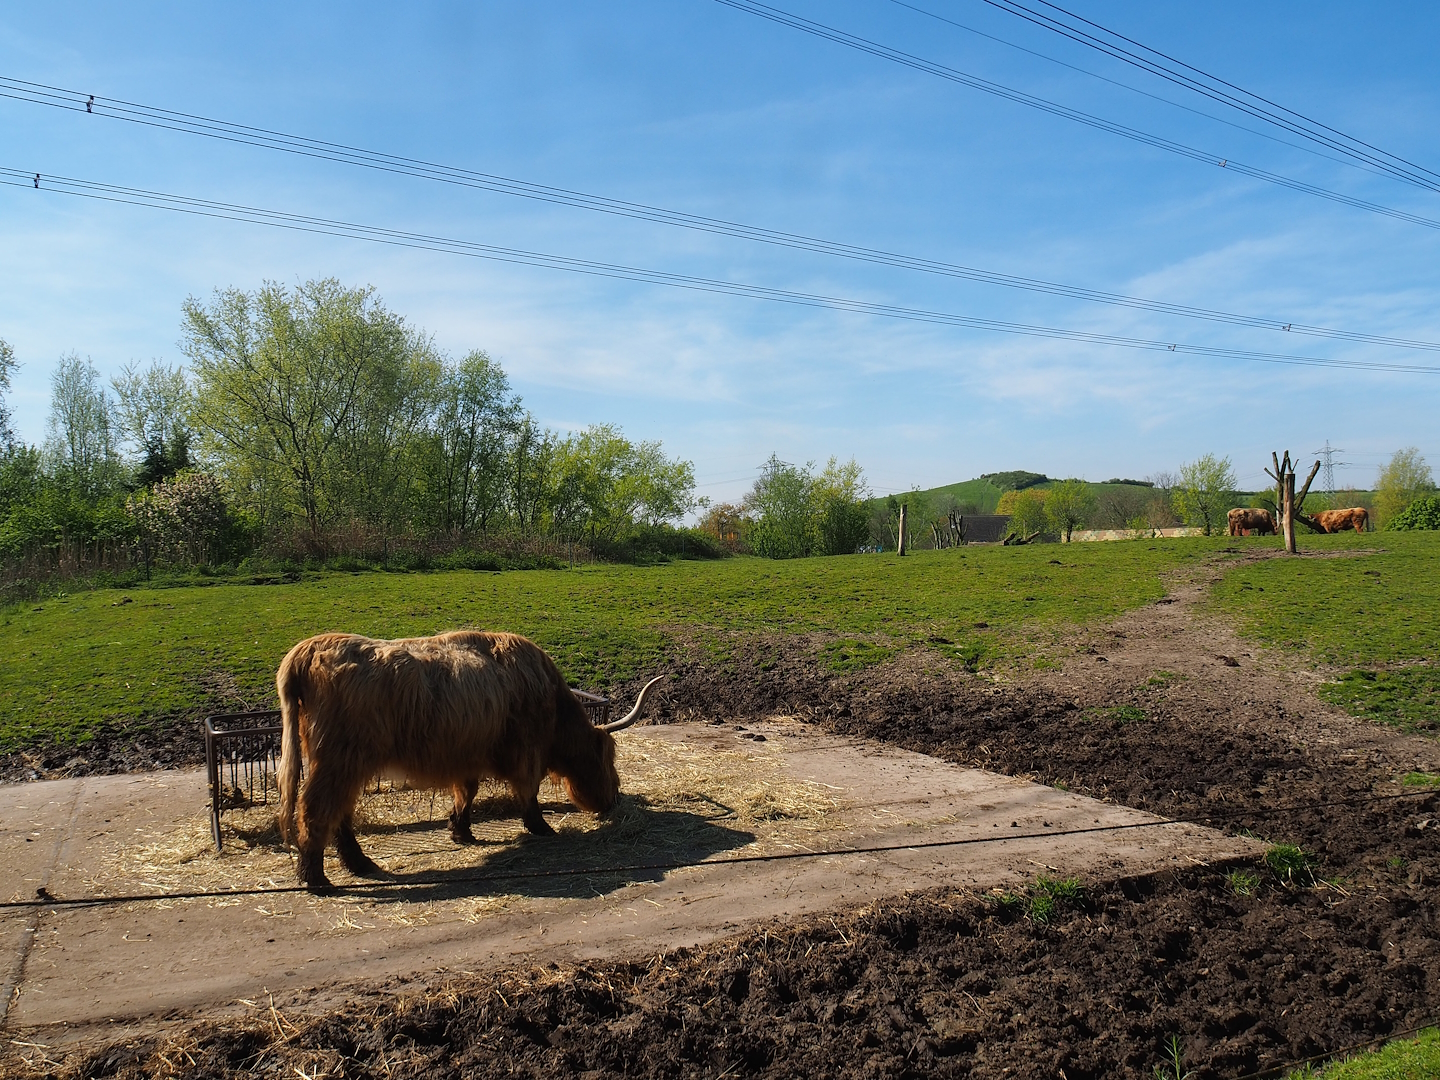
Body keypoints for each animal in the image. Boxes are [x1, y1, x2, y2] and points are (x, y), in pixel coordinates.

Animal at [275, 630, 664, 891]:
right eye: (608, 761)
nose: (614, 800)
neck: (554, 707)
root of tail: (310, 648)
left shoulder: (469, 752)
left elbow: (467, 791)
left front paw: (460, 829)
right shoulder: (526, 749)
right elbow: (528, 791)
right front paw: (541, 827)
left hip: (343, 761)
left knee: (339, 810)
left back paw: (357, 863)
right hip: (341, 758)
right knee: (316, 808)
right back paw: (315, 878)